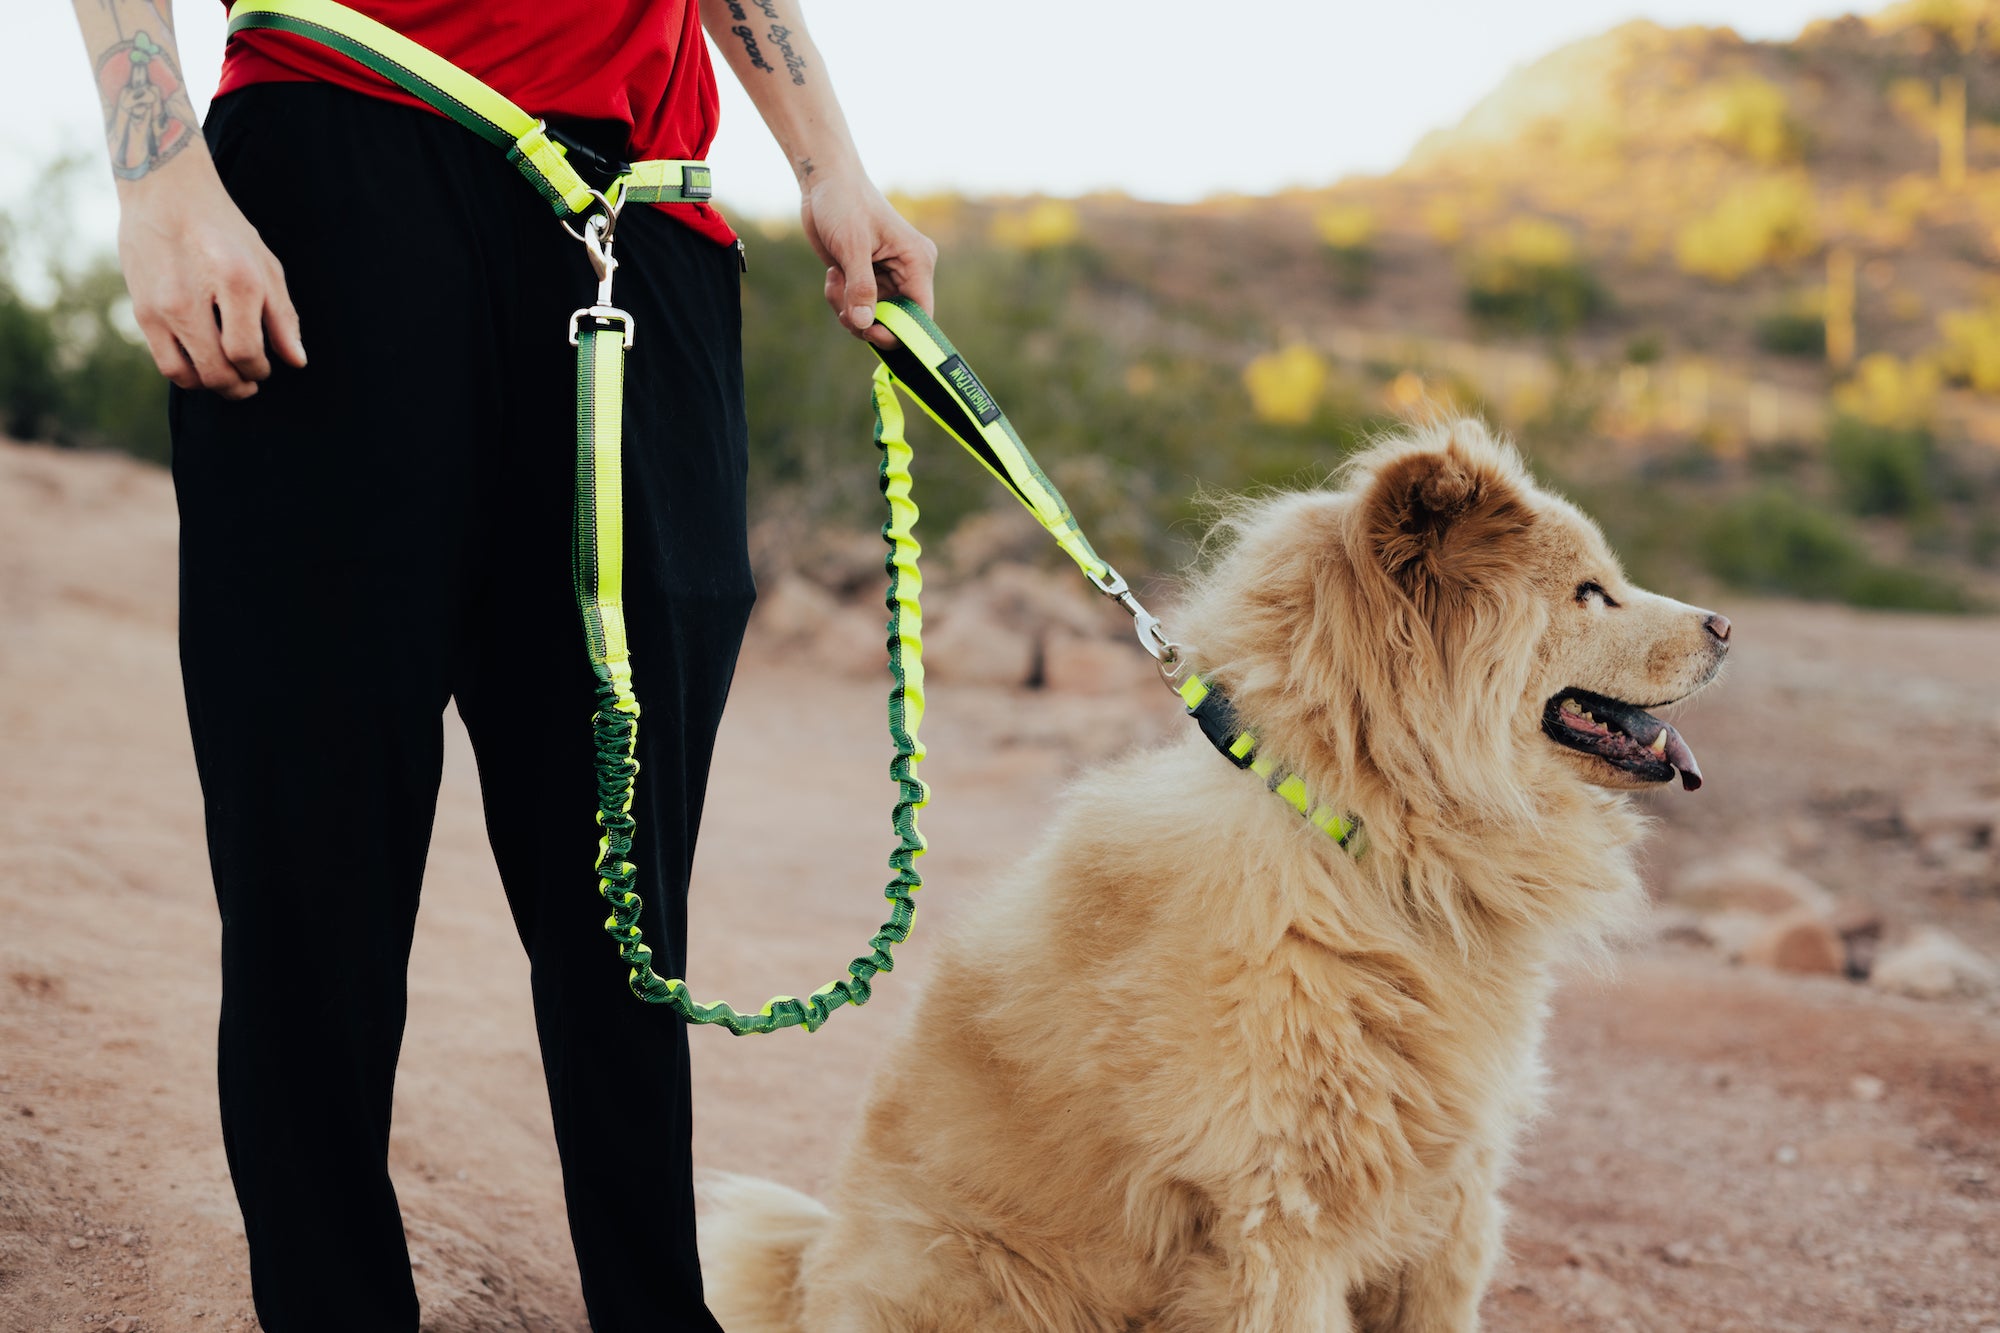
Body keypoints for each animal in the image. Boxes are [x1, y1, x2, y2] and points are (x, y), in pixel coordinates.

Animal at [708, 420, 1736, 1328]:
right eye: (1589, 593)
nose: (1726, 625)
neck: (1366, 848)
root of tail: (812, 1274)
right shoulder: (1280, 1217)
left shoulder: (1450, 1198)